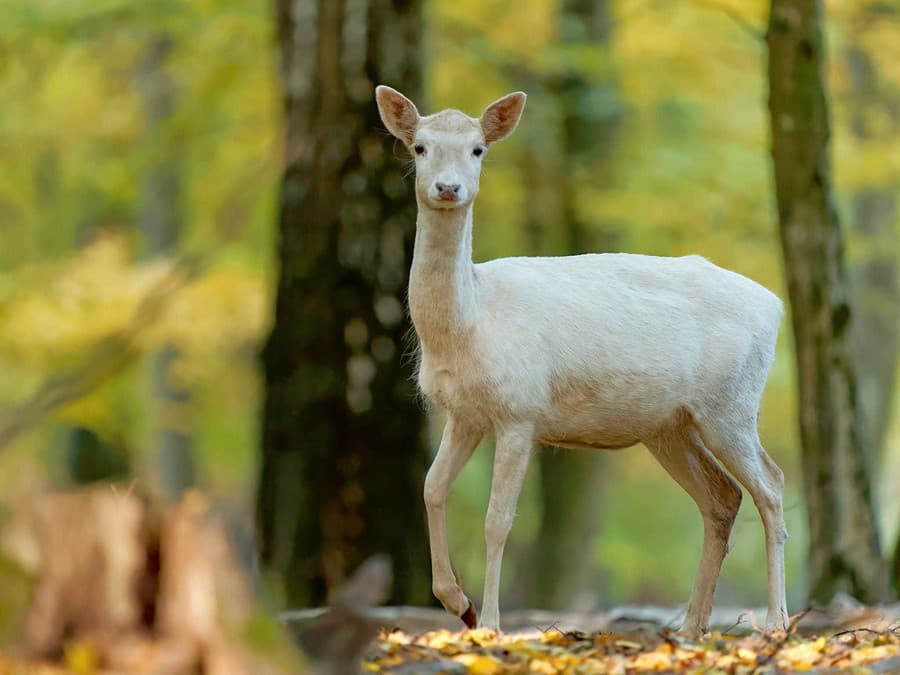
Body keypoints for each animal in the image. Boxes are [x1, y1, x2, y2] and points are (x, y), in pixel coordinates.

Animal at [376, 84, 792, 640]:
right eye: (419, 146)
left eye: (478, 149)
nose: (447, 187)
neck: (471, 323)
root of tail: (775, 306)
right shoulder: (465, 414)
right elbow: (432, 487)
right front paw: (457, 603)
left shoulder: (520, 410)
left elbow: (497, 519)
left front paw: (491, 624)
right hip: (671, 425)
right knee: (721, 497)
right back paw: (690, 628)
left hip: (731, 403)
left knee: (771, 484)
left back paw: (775, 622)